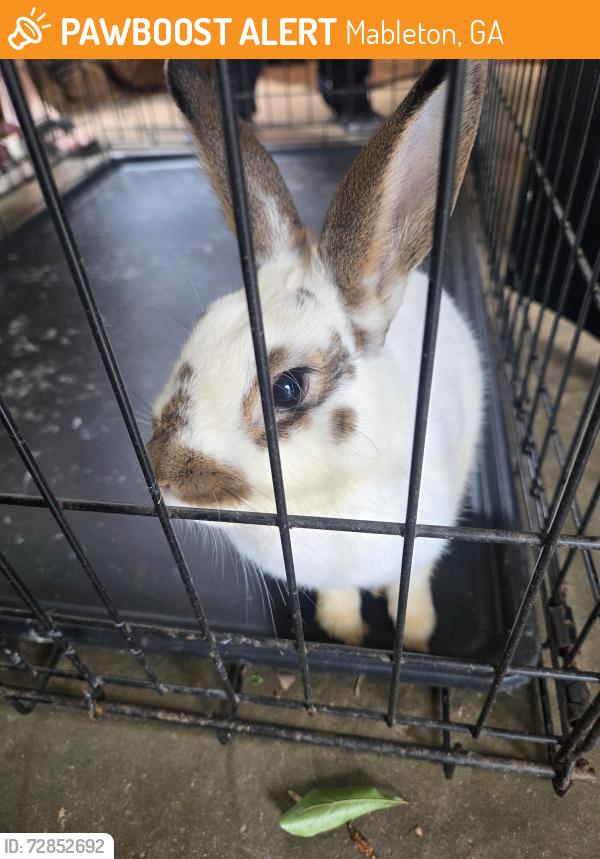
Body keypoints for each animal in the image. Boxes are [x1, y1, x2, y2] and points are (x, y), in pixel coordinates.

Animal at [148, 59, 487, 651]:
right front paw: (346, 636)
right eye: (200, 327)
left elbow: (414, 592)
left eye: (287, 388)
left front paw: (415, 641)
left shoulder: (419, 548)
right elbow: (338, 601)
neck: (326, 504)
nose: (164, 476)